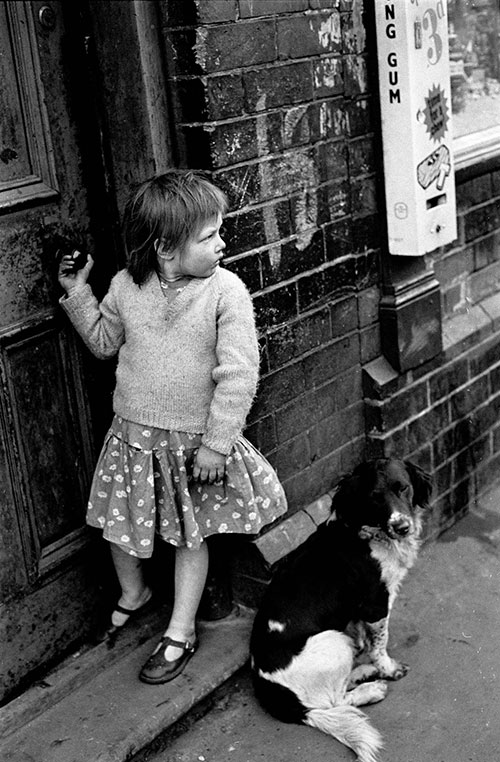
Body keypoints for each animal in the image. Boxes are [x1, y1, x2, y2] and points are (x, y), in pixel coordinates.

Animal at [252, 458, 432, 760]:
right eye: (374, 497)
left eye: (403, 488)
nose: (402, 526)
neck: (370, 533)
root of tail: (270, 687)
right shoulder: (376, 604)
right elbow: (380, 643)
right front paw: (388, 668)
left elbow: (363, 637)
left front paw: (367, 659)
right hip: (332, 640)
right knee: (334, 701)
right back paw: (372, 689)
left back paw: (362, 672)